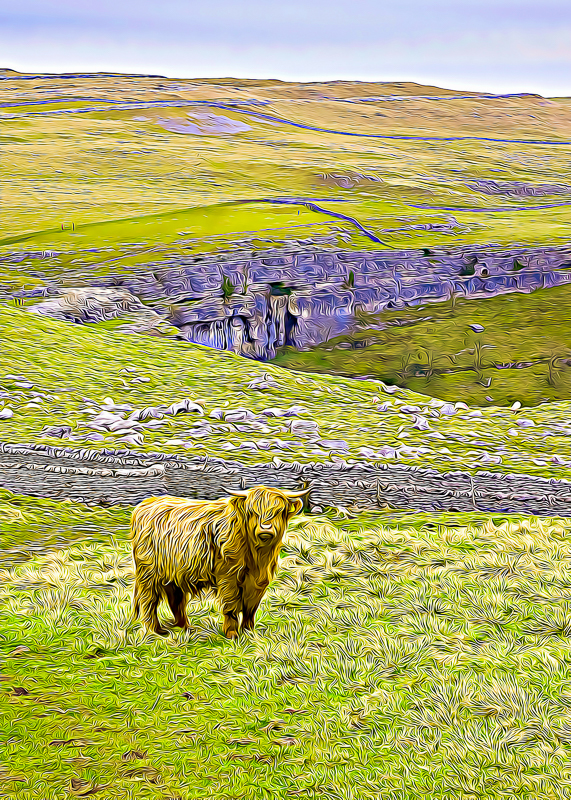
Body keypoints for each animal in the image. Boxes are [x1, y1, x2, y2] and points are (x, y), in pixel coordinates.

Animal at [130, 485, 309, 639]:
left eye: (279, 510)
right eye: (252, 511)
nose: (266, 528)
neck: (258, 556)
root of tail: (145, 504)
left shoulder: (259, 580)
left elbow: (251, 607)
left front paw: (249, 632)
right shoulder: (228, 576)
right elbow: (231, 605)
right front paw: (232, 633)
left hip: (174, 573)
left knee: (176, 600)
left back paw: (186, 628)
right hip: (149, 572)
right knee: (149, 599)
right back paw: (156, 630)